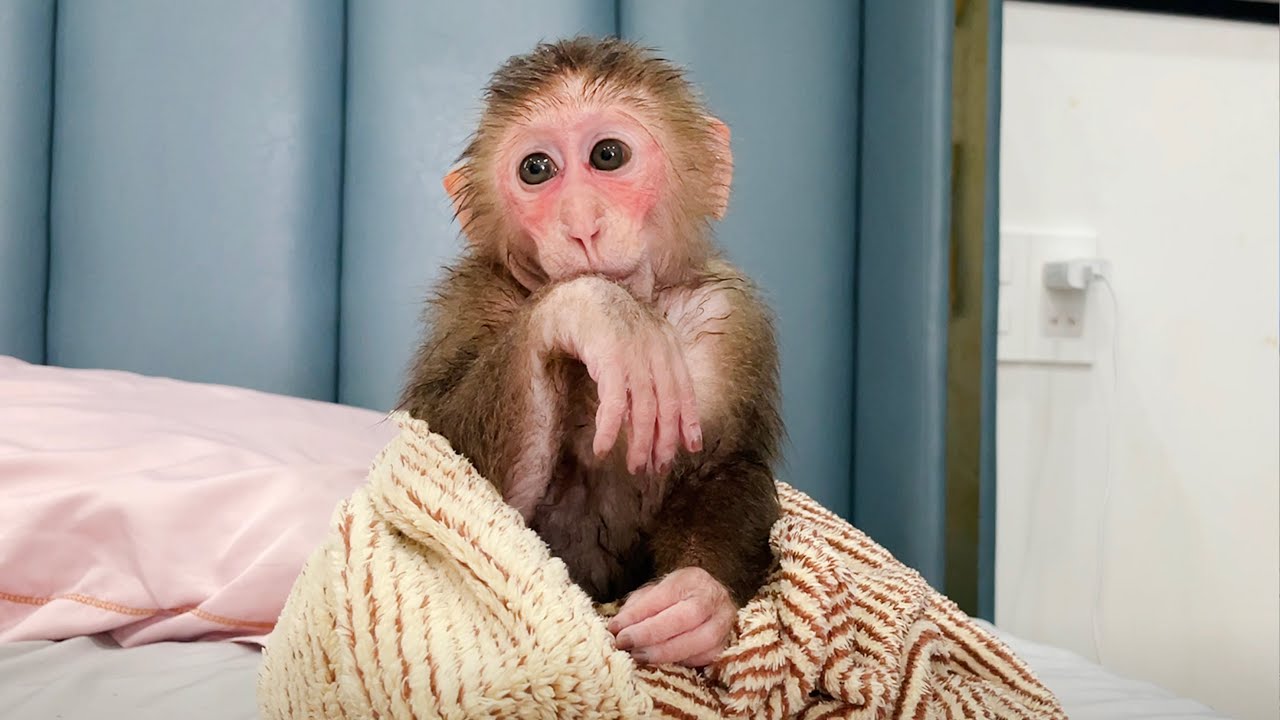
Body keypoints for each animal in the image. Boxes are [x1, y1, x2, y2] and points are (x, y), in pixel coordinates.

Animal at [399, 36, 783, 669]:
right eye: (536, 169)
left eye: (608, 156)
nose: (580, 223)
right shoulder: (475, 300)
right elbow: (453, 481)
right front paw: (599, 311)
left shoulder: (728, 321)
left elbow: (726, 468)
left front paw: (698, 600)